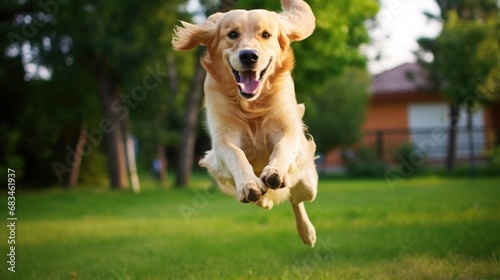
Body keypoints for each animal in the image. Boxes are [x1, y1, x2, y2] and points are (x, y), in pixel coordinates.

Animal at [174, 0, 318, 245]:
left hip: (308, 183)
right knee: (276, 199)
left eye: (266, 34)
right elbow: (237, 155)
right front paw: (249, 185)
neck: (252, 106)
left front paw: (274, 172)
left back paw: (306, 231)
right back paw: (265, 198)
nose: (249, 56)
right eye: (232, 34)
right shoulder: (222, 142)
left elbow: (283, 146)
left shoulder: (288, 129)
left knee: (297, 196)